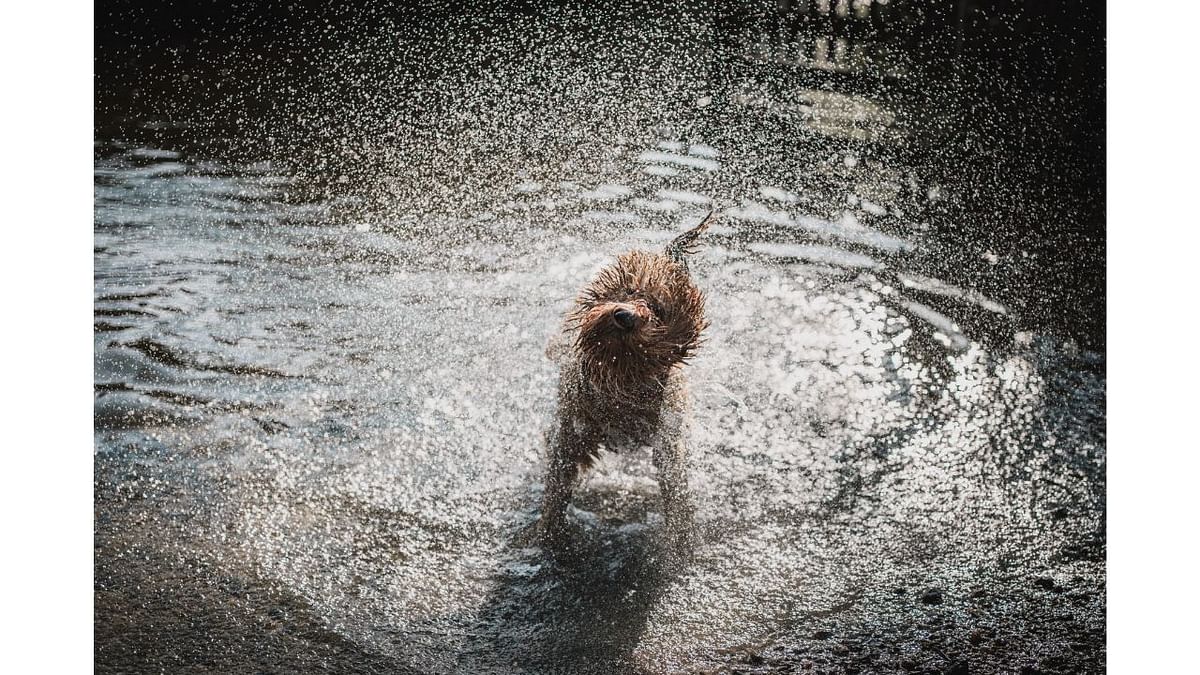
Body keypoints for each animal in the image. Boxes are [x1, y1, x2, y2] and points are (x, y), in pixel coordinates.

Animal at [537, 211, 710, 552]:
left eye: (658, 309)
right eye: (630, 291)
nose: (624, 316)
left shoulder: (667, 433)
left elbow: (674, 483)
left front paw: (680, 539)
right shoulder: (573, 428)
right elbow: (559, 479)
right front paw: (550, 533)